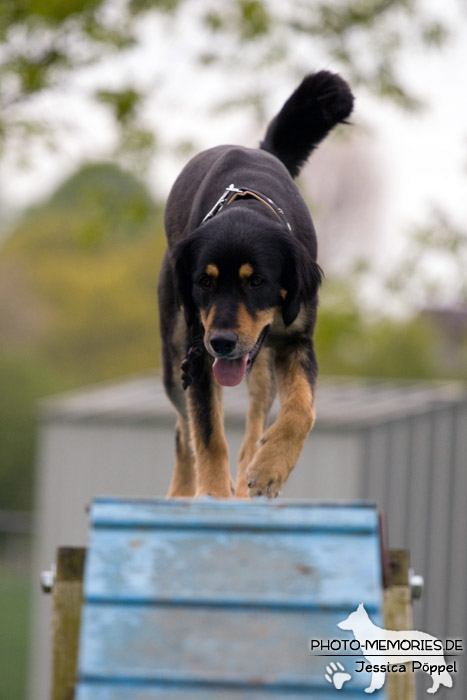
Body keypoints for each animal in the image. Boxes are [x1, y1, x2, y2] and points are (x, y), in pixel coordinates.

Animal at [159, 69, 352, 498]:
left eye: (258, 281)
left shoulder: (296, 340)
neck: (246, 209)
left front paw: (269, 468)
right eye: (204, 282)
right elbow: (208, 434)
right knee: (183, 432)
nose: (222, 342)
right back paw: (182, 492)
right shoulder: (197, 353)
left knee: (253, 424)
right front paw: (213, 494)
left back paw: (250, 471)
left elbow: (302, 409)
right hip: (176, 351)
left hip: (260, 361)